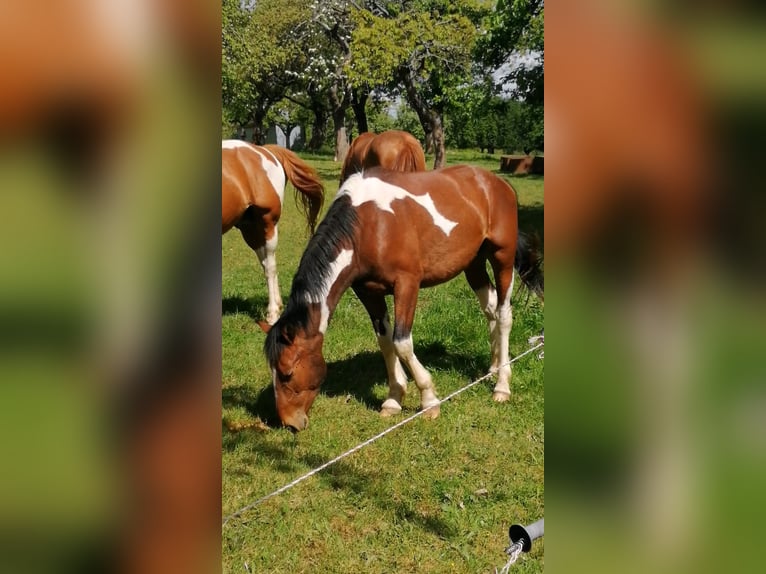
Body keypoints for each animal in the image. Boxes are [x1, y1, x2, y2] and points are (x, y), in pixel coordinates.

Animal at [225, 141, 328, 324]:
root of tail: (264, 150)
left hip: (267, 224)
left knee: (270, 267)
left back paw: (273, 314)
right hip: (251, 228)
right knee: (266, 263)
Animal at [260, 164, 544, 430]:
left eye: (286, 372)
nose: (289, 422)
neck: (369, 225)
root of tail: (498, 183)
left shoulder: (407, 285)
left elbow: (402, 343)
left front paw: (429, 400)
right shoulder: (368, 292)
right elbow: (385, 342)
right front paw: (394, 398)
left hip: (502, 258)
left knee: (504, 314)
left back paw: (502, 385)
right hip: (473, 264)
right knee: (491, 310)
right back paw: (493, 367)